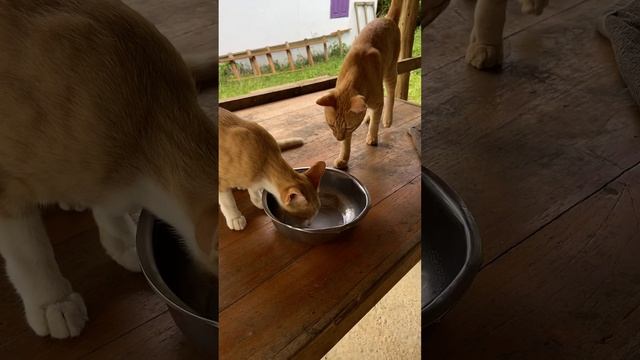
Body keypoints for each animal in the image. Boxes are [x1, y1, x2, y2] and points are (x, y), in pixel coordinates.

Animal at [316, 0, 400, 170]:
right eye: (331, 125)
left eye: (348, 127)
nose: (338, 138)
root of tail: (387, 18)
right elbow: (347, 143)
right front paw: (343, 158)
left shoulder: (376, 101)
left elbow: (375, 123)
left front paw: (372, 138)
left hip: (390, 71)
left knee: (390, 95)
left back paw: (387, 119)